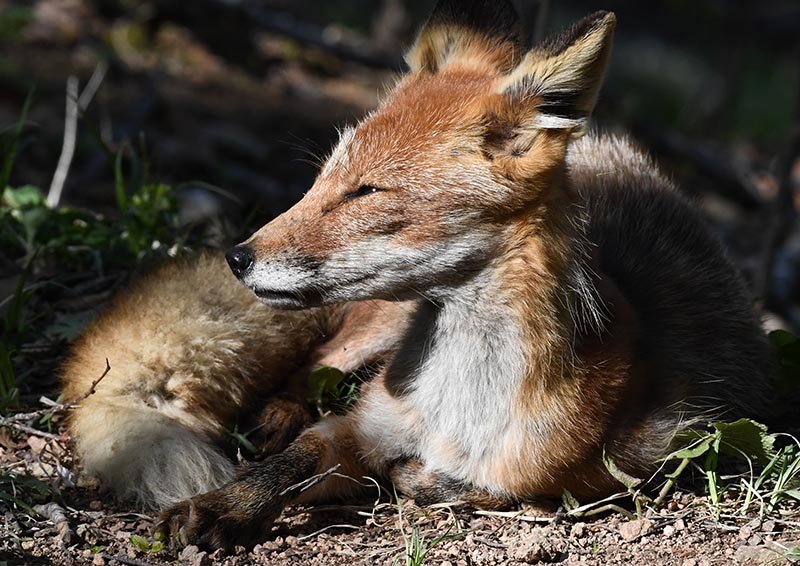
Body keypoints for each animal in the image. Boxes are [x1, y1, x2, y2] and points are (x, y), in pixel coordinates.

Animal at [61, 0, 776, 552]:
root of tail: (610, 148)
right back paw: (279, 413)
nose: (239, 256)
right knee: (316, 362)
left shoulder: (618, 464)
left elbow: (465, 485)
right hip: (373, 334)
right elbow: (291, 464)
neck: (455, 401)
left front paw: (416, 478)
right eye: (323, 178)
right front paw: (222, 505)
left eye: (366, 192)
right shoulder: (360, 425)